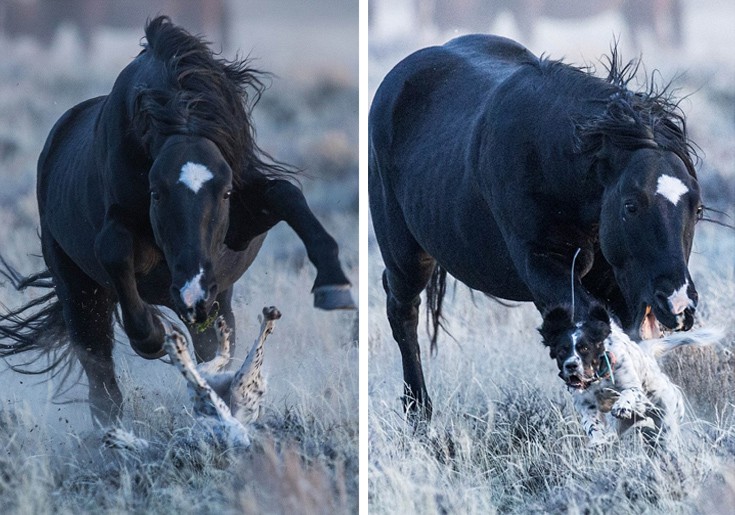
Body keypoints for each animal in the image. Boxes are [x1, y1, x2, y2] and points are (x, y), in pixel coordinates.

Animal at [0, 17, 356, 428]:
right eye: (155, 193)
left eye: (226, 193)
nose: (192, 293)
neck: (181, 119)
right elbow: (115, 254)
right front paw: (156, 335)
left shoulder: (243, 220)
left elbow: (286, 194)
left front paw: (334, 284)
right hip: (78, 289)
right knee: (101, 377)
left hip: (217, 301)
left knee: (210, 343)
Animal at [370, 36, 704, 424]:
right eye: (630, 206)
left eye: (697, 209)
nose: (678, 304)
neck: (549, 159)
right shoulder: (542, 266)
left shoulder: (611, 281)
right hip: (405, 255)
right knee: (403, 311)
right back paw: (418, 412)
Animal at [536, 304, 720, 446]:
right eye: (562, 351)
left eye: (585, 348)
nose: (571, 365)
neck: (599, 378)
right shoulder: (585, 403)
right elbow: (591, 423)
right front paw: (598, 440)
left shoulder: (631, 386)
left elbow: (628, 392)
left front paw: (622, 406)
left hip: (667, 420)